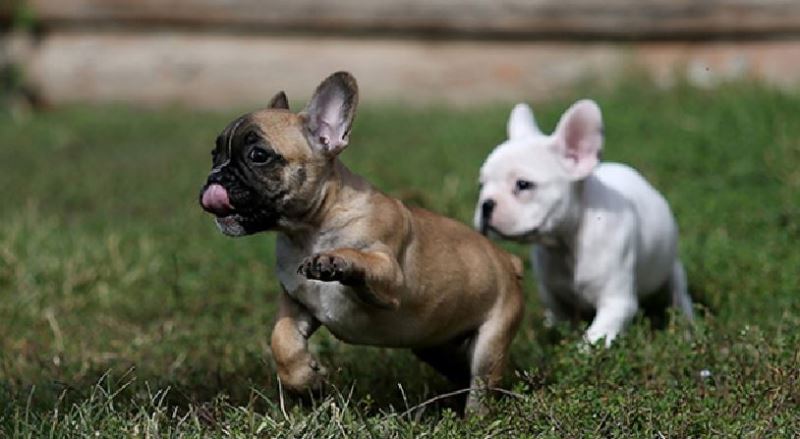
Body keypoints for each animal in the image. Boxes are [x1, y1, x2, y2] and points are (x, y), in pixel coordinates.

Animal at [200, 71, 524, 412]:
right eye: (214, 154)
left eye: (258, 156)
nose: (215, 176)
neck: (311, 229)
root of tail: (508, 260)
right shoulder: (297, 303)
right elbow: (282, 340)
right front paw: (306, 382)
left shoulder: (391, 279)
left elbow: (365, 260)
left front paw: (335, 260)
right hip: (437, 346)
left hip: (490, 340)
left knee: (481, 383)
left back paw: (474, 415)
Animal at [472, 99, 692, 348]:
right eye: (481, 185)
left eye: (523, 184)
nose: (486, 205)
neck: (567, 242)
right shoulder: (554, 296)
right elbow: (563, 320)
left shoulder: (616, 302)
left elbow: (596, 337)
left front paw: (582, 351)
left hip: (673, 270)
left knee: (679, 296)